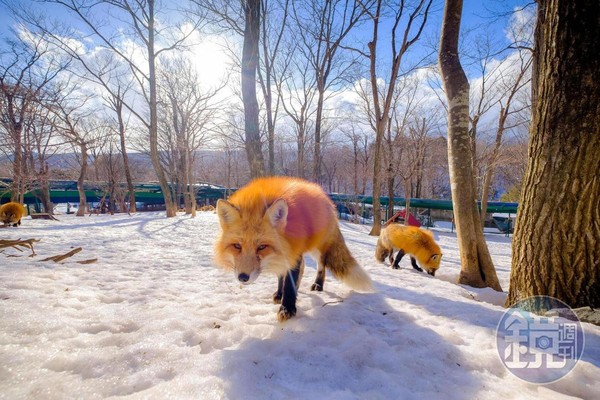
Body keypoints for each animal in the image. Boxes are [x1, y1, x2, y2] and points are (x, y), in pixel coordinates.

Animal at [213, 177, 372, 322]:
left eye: (262, 247)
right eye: (237, 246)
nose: (243, 277)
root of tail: (327, 200)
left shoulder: (294, 251)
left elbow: (289, 282)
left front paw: (287, 308)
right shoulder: (285, 252)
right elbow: (282, 276)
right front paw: (280, 294)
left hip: (316, 248)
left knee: (322, 265)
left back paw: (318, 284)